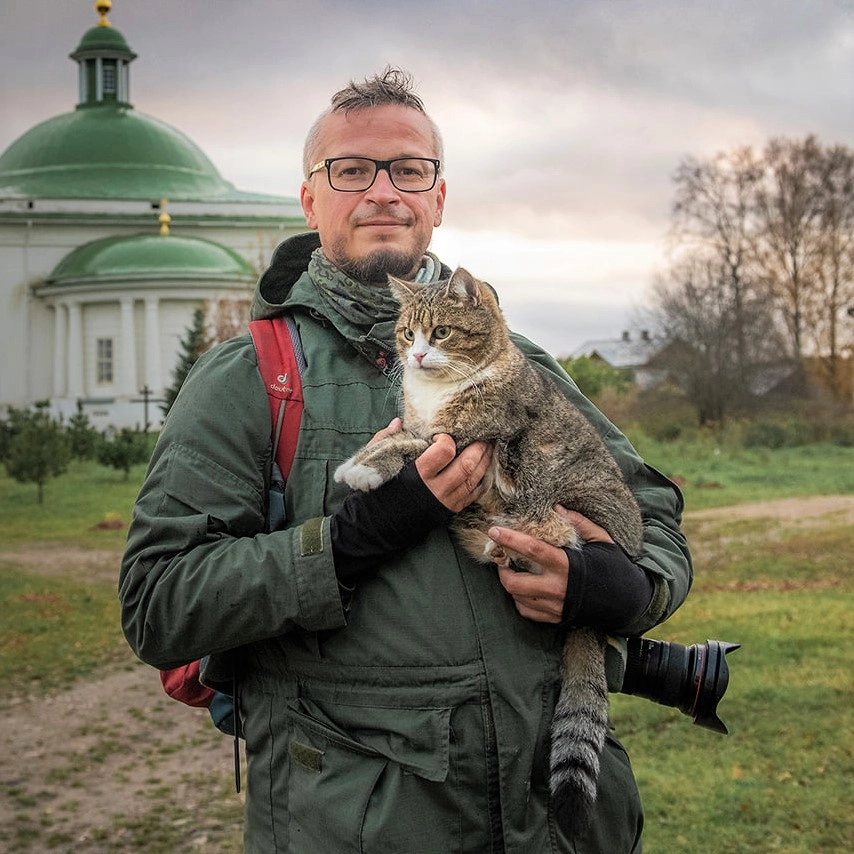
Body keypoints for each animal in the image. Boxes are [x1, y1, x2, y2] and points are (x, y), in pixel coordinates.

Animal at [338, 268, 644, 836]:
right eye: (407, 333)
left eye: (441, 333)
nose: (416, 356)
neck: (436, 392)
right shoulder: (423, 428)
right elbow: (397, 437)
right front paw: (363, 458)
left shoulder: (465, 439)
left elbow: (409, 448)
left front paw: (365, 469)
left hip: (560, 497)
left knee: (555, 532)